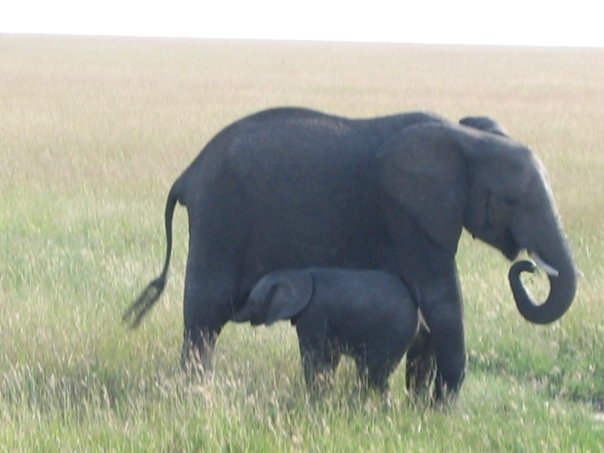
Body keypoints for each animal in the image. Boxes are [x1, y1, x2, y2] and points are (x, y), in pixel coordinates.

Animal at [234, 266, 418, 390]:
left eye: (252, 302)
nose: (234, 314)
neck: (294, 273)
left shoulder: (314, 313)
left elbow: (314, 356)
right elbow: (329, 358)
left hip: (394, 331)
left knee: (371, 373)